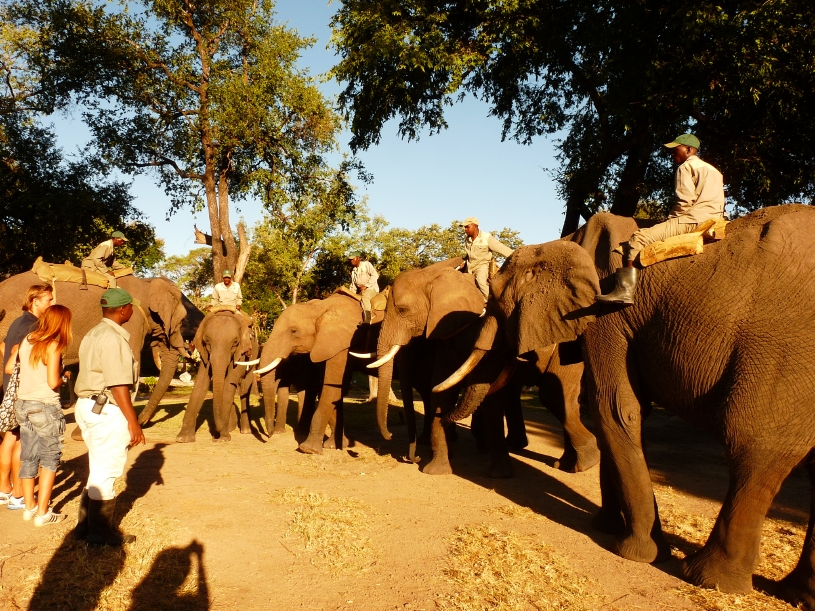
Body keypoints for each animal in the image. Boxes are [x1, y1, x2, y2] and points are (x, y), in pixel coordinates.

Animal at [176, 309, 259, 442]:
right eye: (207, 342)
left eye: (235, 343)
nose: (216, 433)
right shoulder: (205, 353)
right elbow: (201, 383)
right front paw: (182, 438)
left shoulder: (240, 353)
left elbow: (229, 384)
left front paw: (222, 438)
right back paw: (231, 428)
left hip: (253, 357)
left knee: (244, 388)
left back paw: (245, 431)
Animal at [254, 292, 384, 454]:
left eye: (294, 331)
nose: (269, 435)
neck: (320, 307)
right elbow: (335, 388)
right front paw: (334, 446)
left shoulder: (341, 340)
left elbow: (331, 386)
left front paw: (308, 449)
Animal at [444, 205, 815, 606]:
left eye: (497, 302)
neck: (564, 241)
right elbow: (618, 413)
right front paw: (606, 526)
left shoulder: (607, 315)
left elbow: (615, 410)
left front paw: (635, 553)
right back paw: (797, 594)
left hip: (783, 353)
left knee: (754, 448)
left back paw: (706, 578)